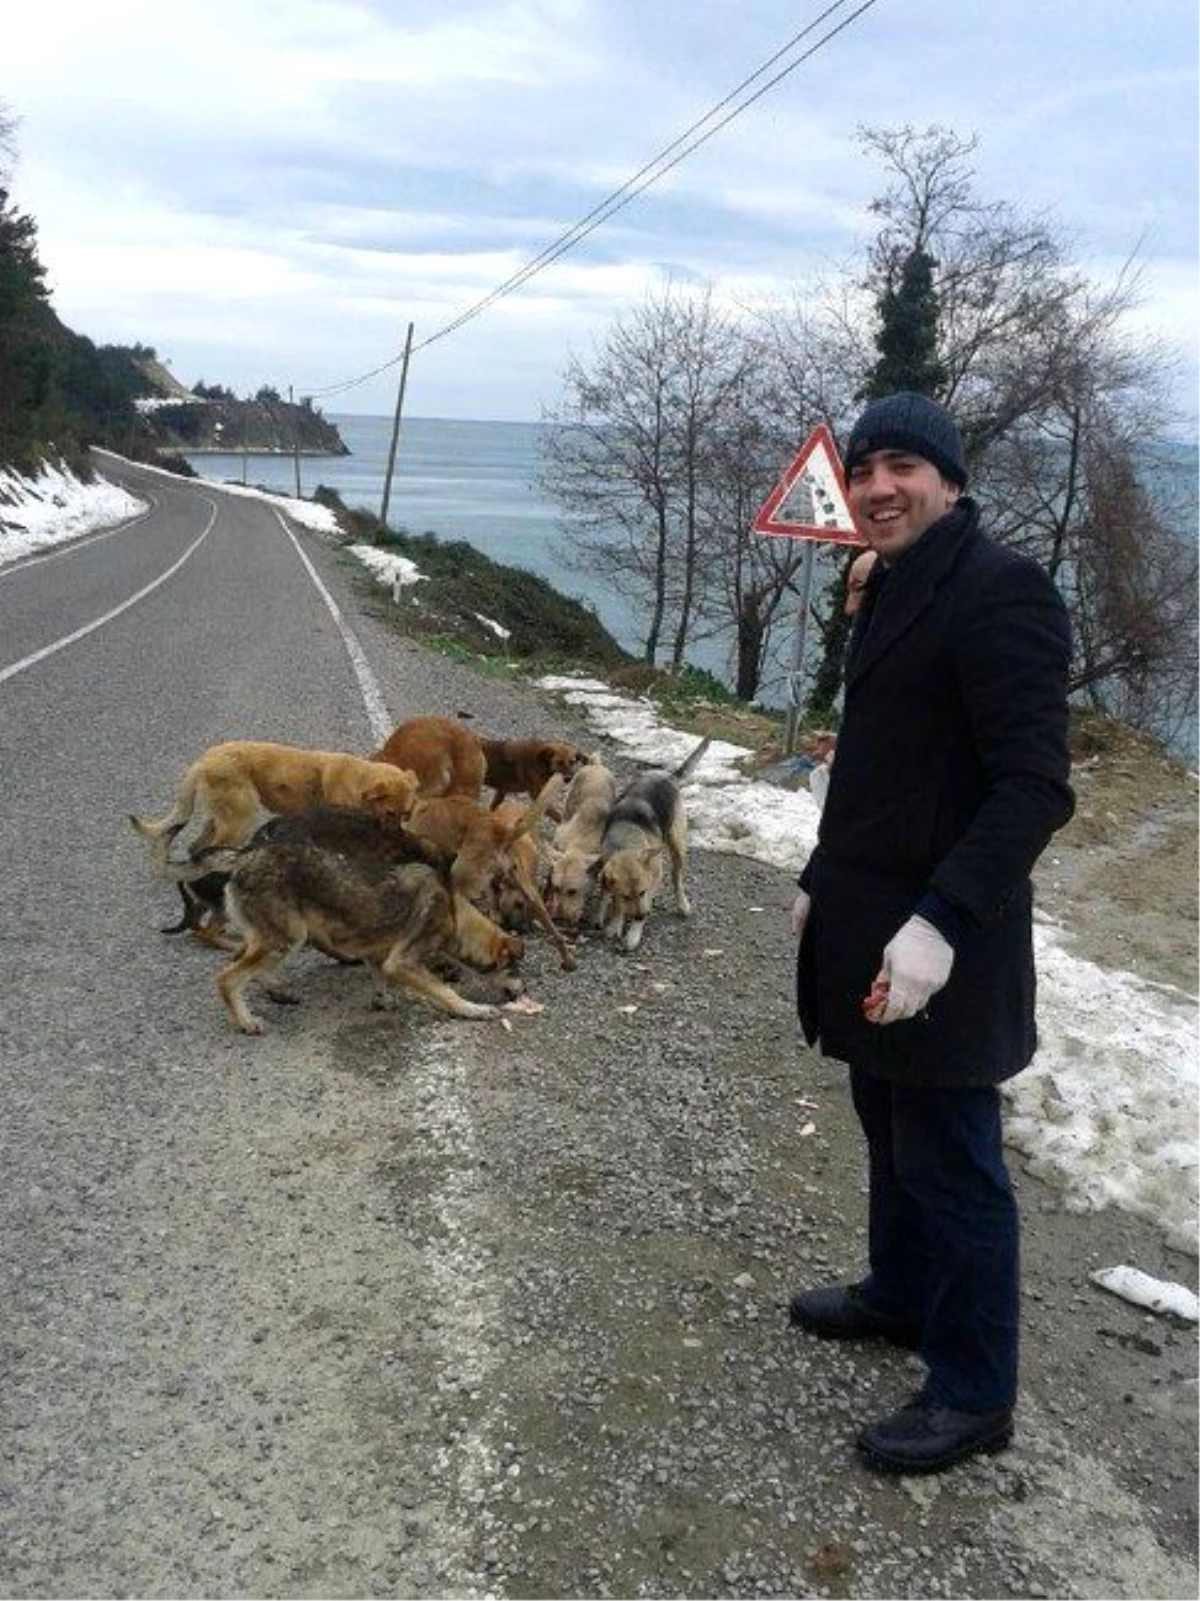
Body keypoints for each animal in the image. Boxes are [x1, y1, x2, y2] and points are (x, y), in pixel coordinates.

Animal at [131, 739, 419, 870]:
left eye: (407, 814)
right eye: (390, 812)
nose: (401, 838)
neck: (359, 780)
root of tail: (204, 760)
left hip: (223, 816)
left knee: (196, 848)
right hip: (240, 820)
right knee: (210, 850)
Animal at [598, 736, 710, 947]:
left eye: (642, 892)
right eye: (626, 895)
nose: (641, 915)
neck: (626, 837)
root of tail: (668, 777)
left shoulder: (653, 879)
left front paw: (633, 934)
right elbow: (617, 904)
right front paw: (615, 924)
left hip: (677, 845)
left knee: (677, 878)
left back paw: (683, 904)